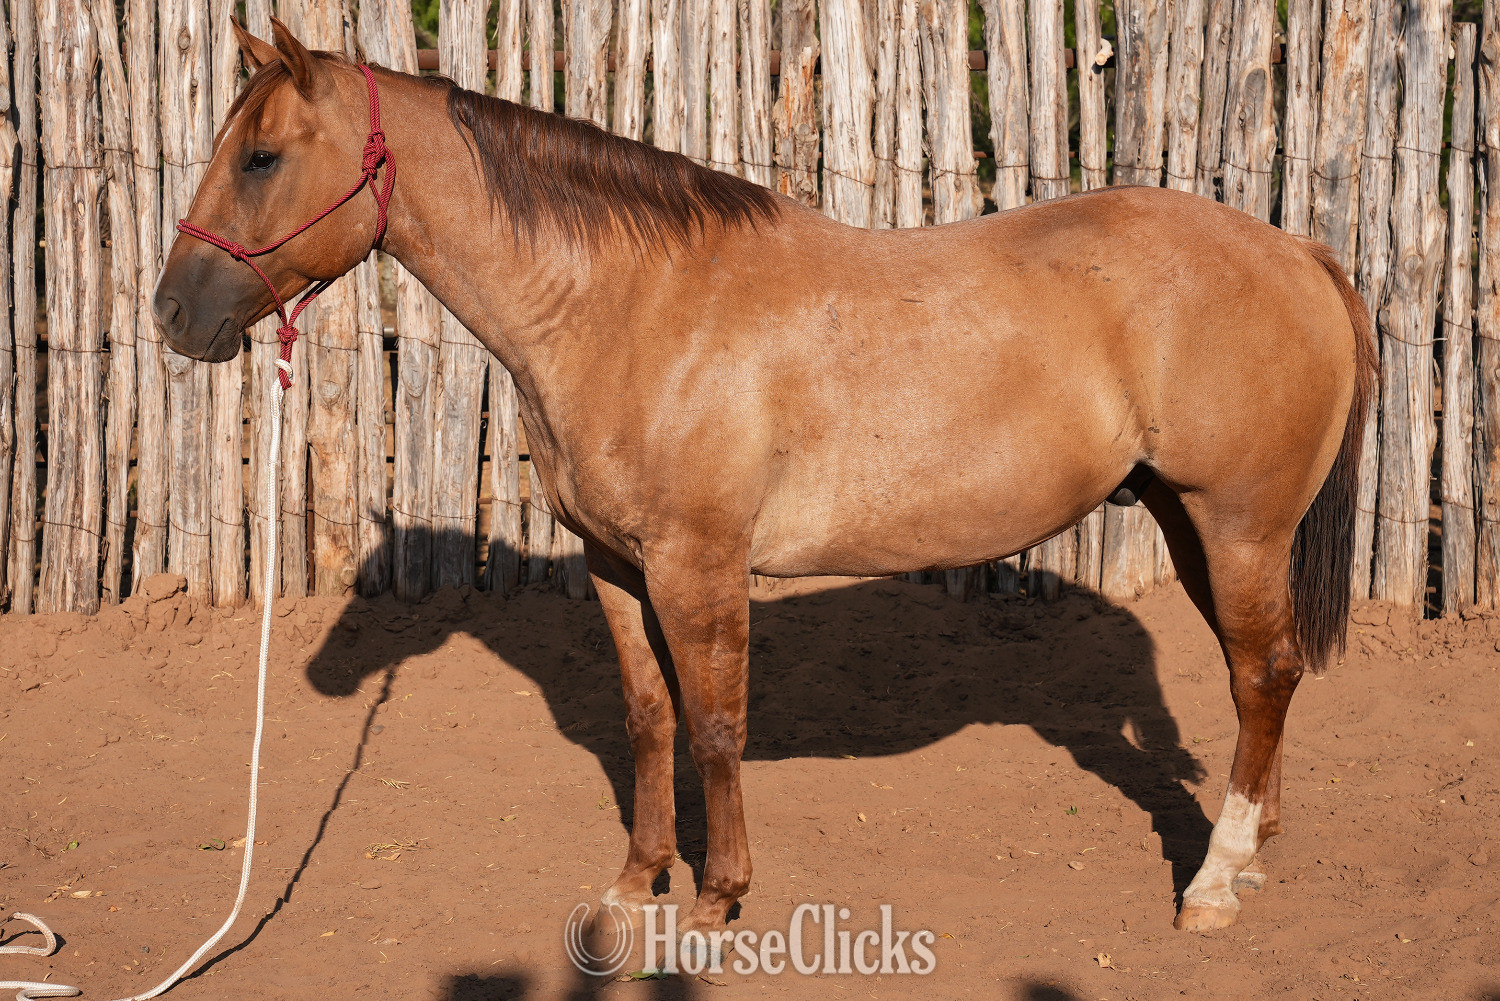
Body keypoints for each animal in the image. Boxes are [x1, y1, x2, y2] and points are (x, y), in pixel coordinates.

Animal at [155, 19, 1377, 937]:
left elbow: (715, 724)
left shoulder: (700, 566)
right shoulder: (616, 565)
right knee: (1257, 679)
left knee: (1264, 674)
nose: (172, 313)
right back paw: (1249, 851)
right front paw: (635, 883)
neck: (628, 302)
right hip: (1196, 524)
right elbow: (649, 718)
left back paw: (1213, 882)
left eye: (261, 157)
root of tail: (1298, 253)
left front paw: (717, 898)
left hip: (1238, 524)